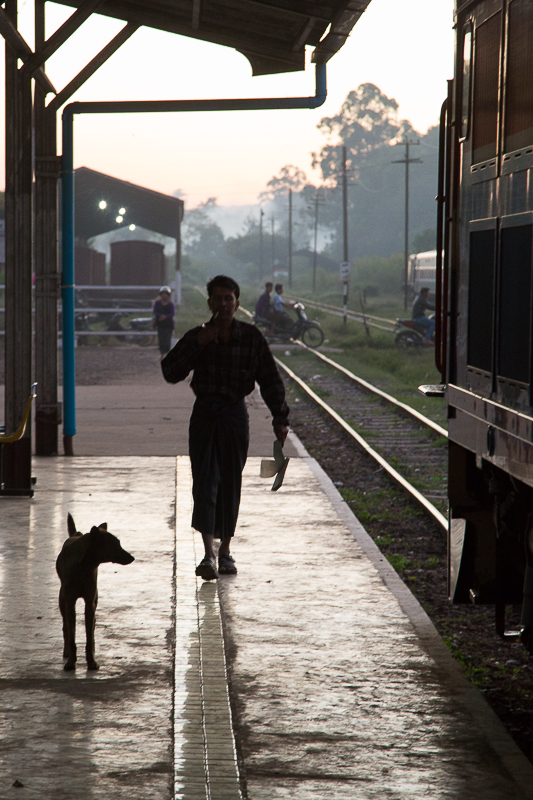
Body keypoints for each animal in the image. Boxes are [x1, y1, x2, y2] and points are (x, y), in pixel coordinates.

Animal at [55, 512, 135, 668]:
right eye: (115, 545)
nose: (132, 557)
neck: (84, 567)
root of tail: (76, 533)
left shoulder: (90, 603)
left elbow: (89, 635)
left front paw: (91, 661)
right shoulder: (70, 603)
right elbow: (71, 634)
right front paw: (71, 662)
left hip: (94, 600)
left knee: (91, 628)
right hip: (62, 601)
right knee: (65, 627)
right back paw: (66, 650)